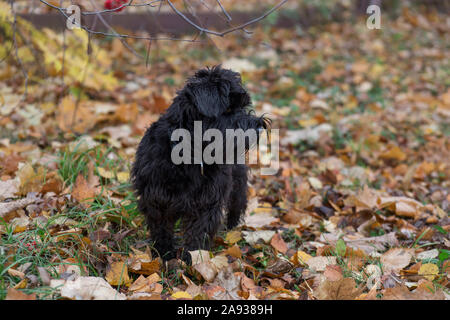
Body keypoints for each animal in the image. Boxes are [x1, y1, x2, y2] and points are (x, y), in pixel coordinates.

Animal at [132, 65, 268, 262]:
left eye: (243, 106)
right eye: (228, 109)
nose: (259, 126)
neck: (191, 153)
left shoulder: (207, 204)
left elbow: (198, 234)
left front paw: (194, 260)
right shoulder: (157, 200)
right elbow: (161, 230)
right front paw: (164, 255)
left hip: (238, 182)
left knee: (237, 203)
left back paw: (232, 227)